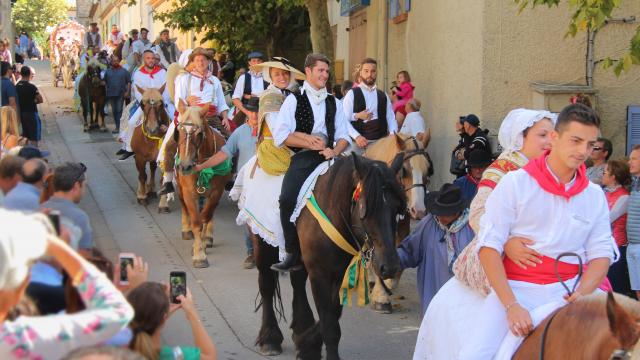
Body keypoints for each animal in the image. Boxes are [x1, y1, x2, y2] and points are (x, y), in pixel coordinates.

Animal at [175, 104, 232, 268]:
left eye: (199, 133)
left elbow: (205, 216)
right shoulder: (188, 193)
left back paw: (207, 238)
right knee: (184, 207)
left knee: (209, 212)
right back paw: (186, 231)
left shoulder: (216, 191)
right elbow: (196, 221)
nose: (185, 166)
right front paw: (198, 254)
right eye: (179, 130)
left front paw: (202, 246)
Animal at [251, 154, 404, 360]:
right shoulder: (320, 274)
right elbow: (330, 325)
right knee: (266, 284)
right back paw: (269, 338)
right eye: (366, 208)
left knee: (297, 281)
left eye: (397, 209)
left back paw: (300, 327)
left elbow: (333, 315)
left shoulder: (339, 274)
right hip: (261, 243)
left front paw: (307, 345)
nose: (390, 266)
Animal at [362, 131, 432, 312]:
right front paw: (381, 296)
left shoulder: (403, 224)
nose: (419, 210)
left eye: (428, 170)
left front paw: (388, 283)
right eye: (404, 170)